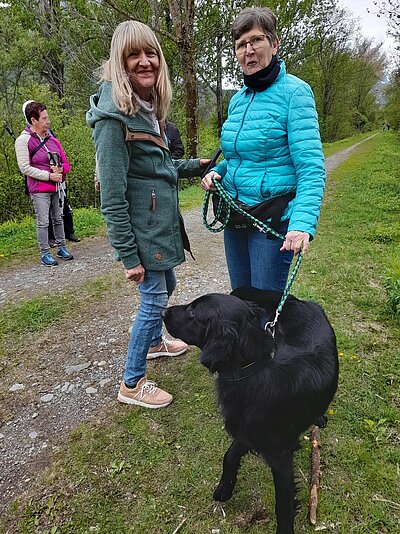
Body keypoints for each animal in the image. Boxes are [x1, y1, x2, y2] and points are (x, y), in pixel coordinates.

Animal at [161, 288, 340, 534]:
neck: (251, 372)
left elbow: (283, 505)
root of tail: (296, 301)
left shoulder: (280, 456)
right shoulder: (246, 430)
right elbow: (229, 456)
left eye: (193, 312)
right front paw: (225, 488)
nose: (163, 312)